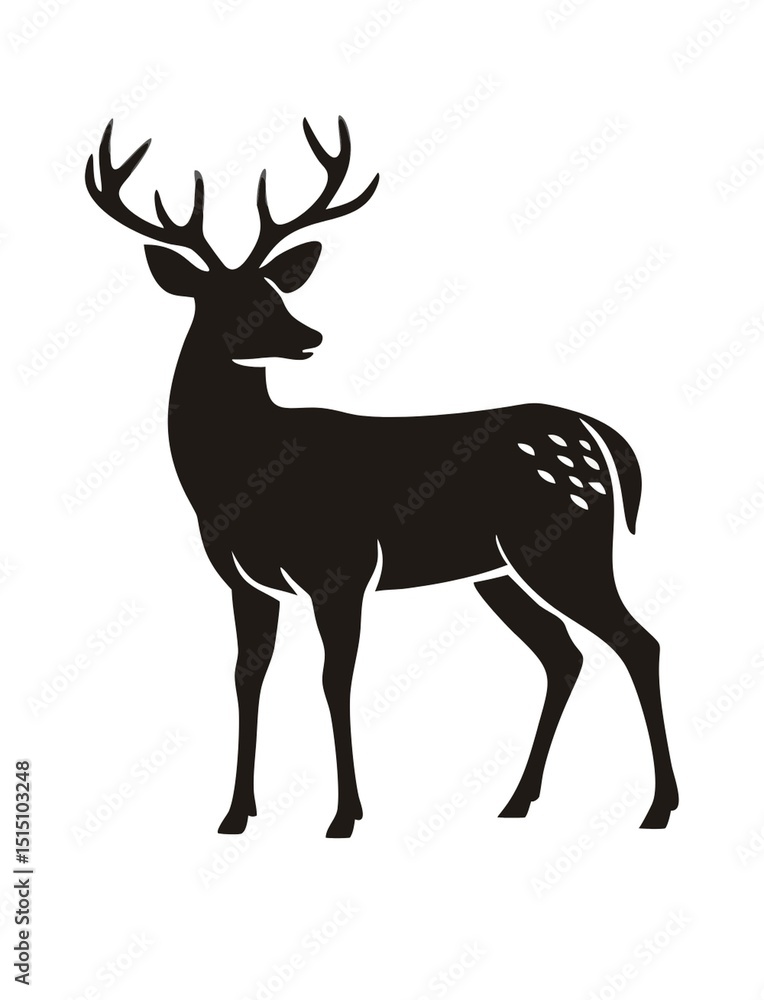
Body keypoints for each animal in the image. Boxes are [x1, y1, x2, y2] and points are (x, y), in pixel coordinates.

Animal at [85, 116, 678, 838]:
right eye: (223, 300)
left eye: (274, 290)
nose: (308, 335)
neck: (240, 478)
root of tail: (600, 435)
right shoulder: (243, 580)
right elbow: (246, 679)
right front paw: (235, 814)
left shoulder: (340, 566)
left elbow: (333, 679)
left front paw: (345, 815)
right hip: (499, 570)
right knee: (564, 655)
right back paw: (517, 802)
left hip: (568, 541)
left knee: (637, 641)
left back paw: (657, 806)